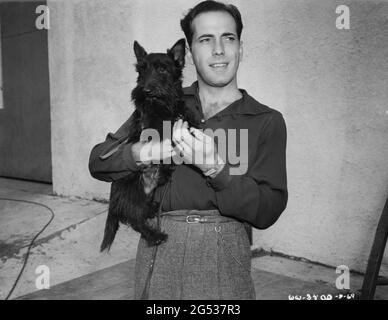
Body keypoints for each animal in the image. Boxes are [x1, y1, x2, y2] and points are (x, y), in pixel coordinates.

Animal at [100, 38, 199, 252]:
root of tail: (114, 203)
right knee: (136, 220)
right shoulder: (153, 128)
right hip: (133, 193)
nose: (145, 91)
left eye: (162, 69)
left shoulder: (180, 113)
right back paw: (155, 236)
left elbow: (188, 117)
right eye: (141, 70)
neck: (164, 106)